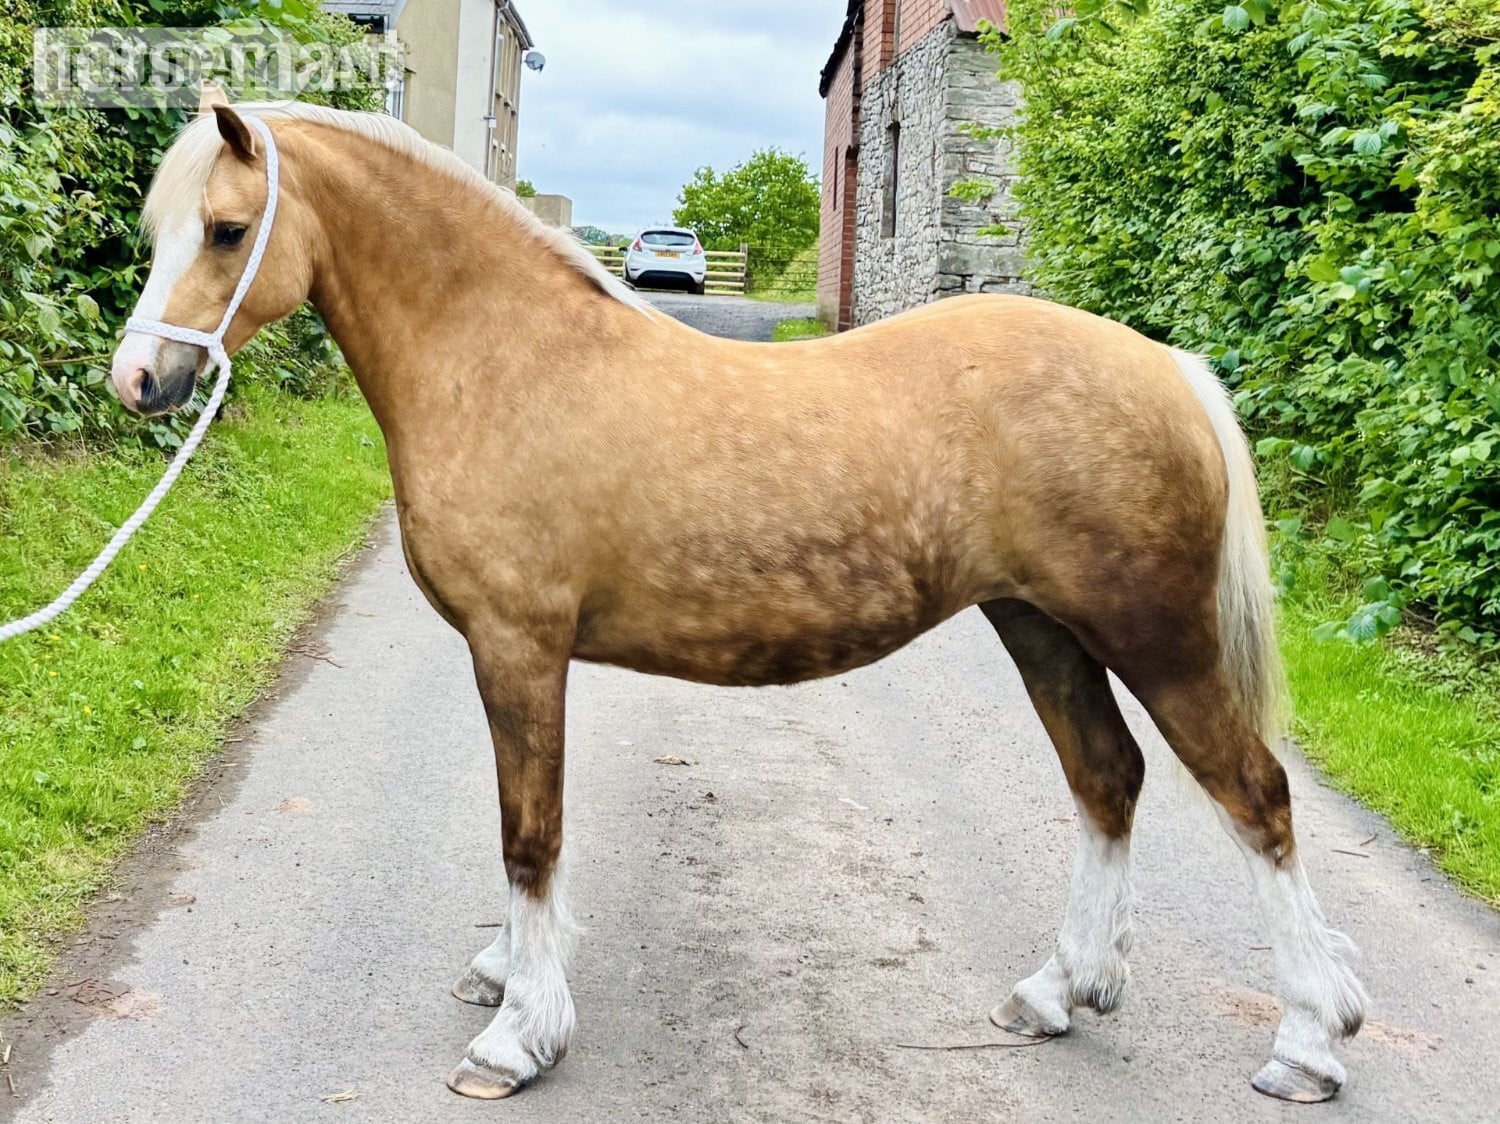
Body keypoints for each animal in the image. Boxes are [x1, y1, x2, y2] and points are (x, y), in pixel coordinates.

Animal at [108, 92, 1367, 1104]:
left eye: (228, 230)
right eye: (159, 231)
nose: (139, 381)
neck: (509, 358)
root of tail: (1169, 367)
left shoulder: (519, 644)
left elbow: (529, 830)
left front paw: (518, 1033)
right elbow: (527, 826)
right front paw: (509, 975)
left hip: (1158, 639)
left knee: (1254, 796)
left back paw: (1310, 1041)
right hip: (1041, 627)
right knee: (1107, 779)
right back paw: (1058, 988)